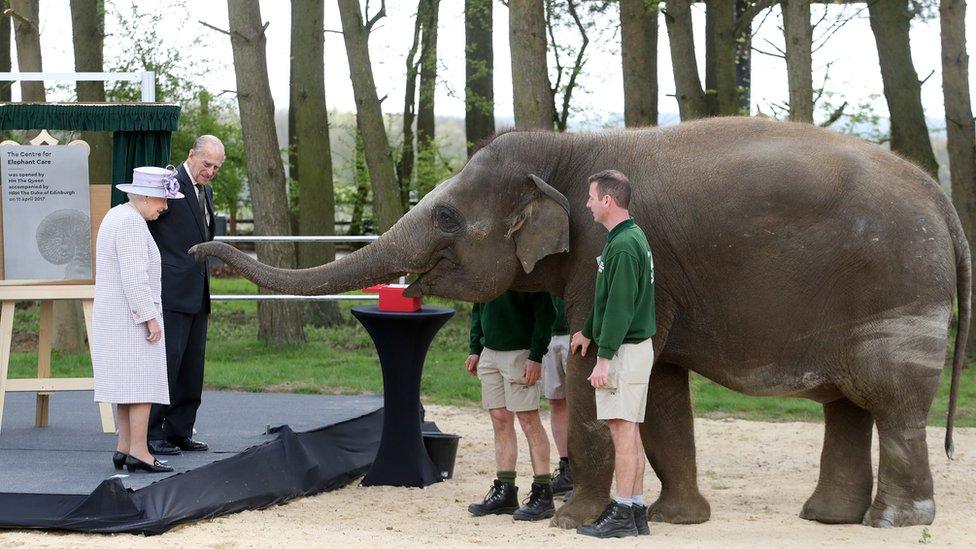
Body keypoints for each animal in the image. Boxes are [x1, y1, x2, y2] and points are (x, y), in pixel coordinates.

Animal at [191, 117, 968, 528]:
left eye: (446, 217)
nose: (200, 247)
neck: (569, 145)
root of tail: (938, 191)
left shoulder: (604, 260)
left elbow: (602, 386)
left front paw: (573, 520)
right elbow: (664, 395)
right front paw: (678, 519)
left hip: (899, 294)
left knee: (891, 402)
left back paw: (894, 522)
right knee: (848, 405)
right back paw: (827, 519)